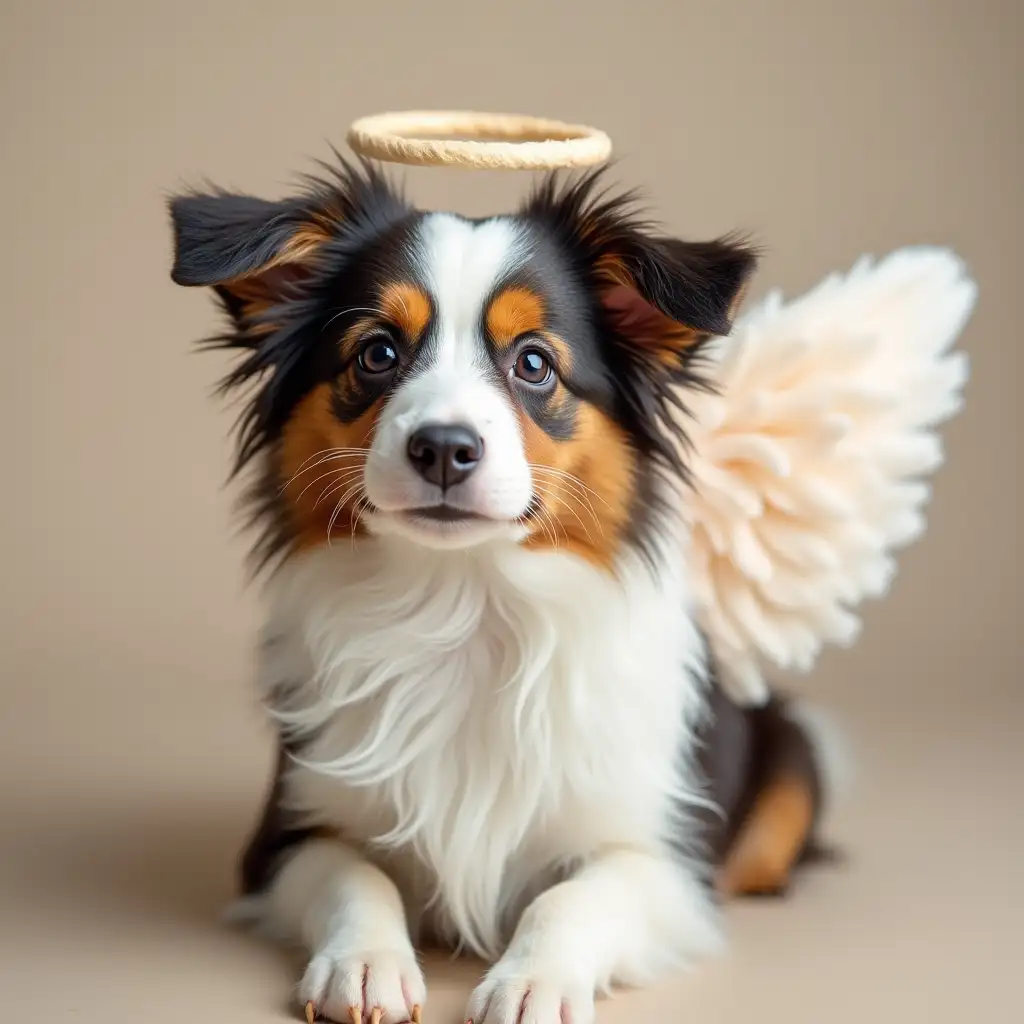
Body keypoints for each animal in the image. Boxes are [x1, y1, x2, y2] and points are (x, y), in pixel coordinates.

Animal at [167, 159, 839, 1024]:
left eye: (534, 363)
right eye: (377, 353)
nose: (444, 448)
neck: (465, 599)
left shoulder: (662, 859)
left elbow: (574, 897)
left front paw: (532, 981)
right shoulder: (284, 834)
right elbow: (357, 874)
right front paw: (364, 964)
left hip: (792, 756)